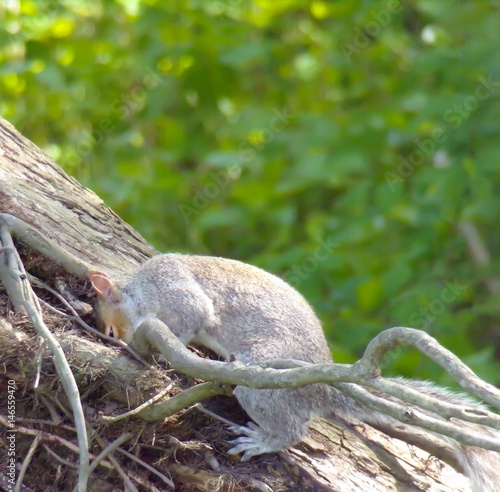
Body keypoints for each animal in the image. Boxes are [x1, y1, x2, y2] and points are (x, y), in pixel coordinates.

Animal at [90, 254, 500, 492]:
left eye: (110, 328)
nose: (120, 345)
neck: (140, 286)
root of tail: (321, 388)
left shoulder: (174, 294)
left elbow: (185, 321)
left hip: (262, 381)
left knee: (293, 430)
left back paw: (261, 440)